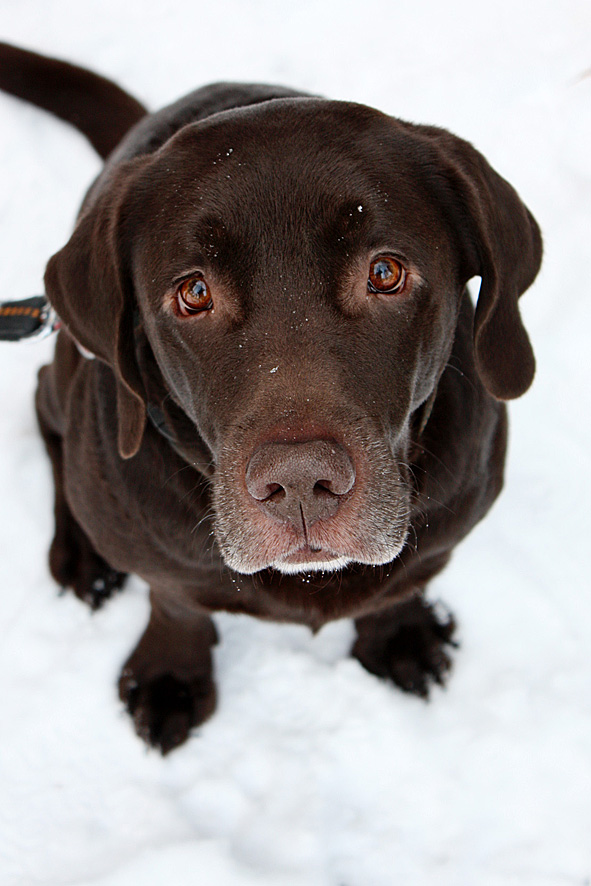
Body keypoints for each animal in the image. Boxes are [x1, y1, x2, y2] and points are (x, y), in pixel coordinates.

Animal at [0, 40, 544, 748]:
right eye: (194, 292)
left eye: (385, 272)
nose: (301, 484)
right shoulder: (157, 553)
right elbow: (174, 601)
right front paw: (170, 673)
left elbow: (400, 584)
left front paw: (402, 636)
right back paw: (81, 553)